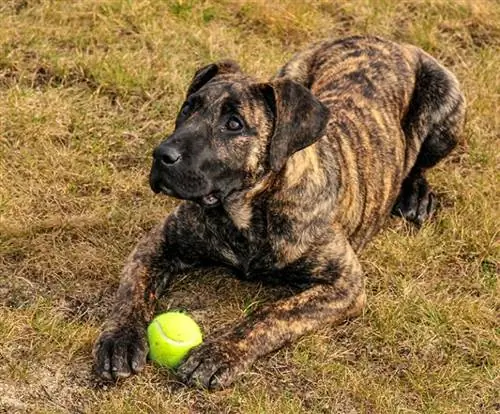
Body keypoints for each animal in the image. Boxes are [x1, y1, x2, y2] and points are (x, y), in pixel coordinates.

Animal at [93, 35, 464, 388]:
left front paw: (220, 352)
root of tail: (387, 41)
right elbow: (133, 291)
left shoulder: (344, 285)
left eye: (234, 124)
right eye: (187, 108)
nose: (162, 155)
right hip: (293, 70)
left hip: (447, 103)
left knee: (418, 162)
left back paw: (416, 195)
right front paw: (120, 339)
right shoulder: (160, 242)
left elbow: (272, 314)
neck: (246, 214)